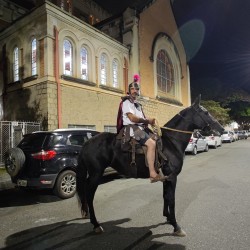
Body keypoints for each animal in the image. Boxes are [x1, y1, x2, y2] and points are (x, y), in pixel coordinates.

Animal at [76, 95, 225, 236]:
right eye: (205, 112)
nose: (222, 129)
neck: (171, 142)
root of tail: (87, 143)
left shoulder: (166, 178)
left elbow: (165, 196)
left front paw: (168, 217)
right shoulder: (172, 177)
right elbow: (172, 200)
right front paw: (176, 226)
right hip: (96, 174)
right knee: (89, 195)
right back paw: (96, 225)